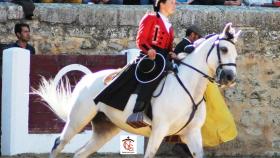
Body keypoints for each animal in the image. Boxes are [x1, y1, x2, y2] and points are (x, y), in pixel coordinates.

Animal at [34, 22, 241, 158]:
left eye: (236, 53)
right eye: (223, 49)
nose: (230, 77)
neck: (189, 86)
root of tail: (88, 79)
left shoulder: (192, 133)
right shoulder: (159, 130)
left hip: (105, 128)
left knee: (80, 153)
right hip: (78, 119)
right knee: (58, 145)